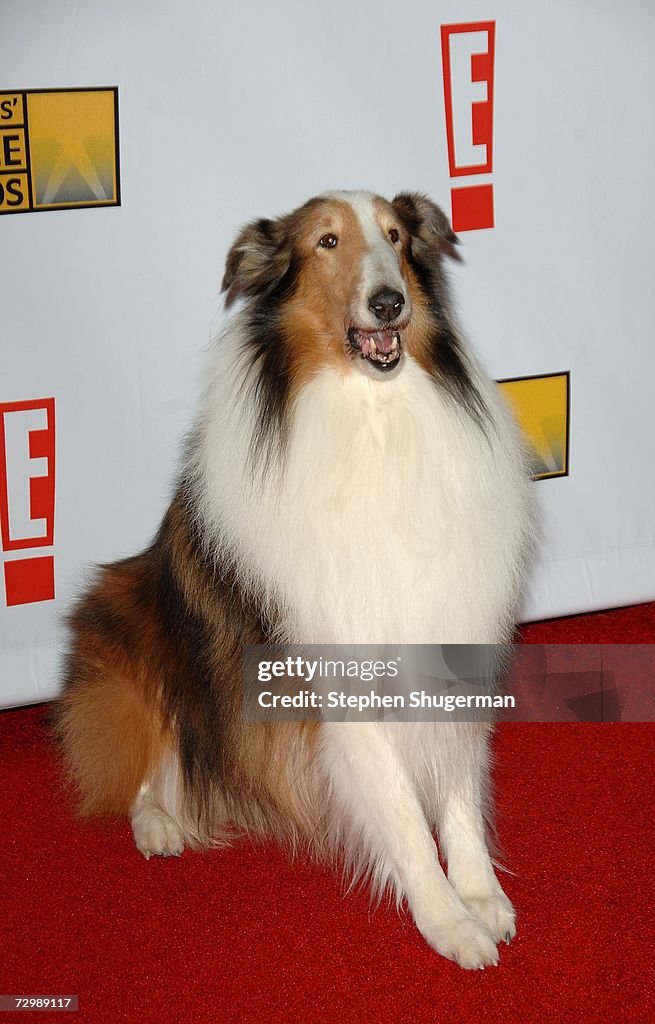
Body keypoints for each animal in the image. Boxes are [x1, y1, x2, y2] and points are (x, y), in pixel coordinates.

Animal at [56, 190, 536, 966]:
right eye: (326, 242)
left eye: (395, 237)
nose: (389, 302)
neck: (374, 419)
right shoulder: (339, 666)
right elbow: (402, 810)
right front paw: (448, 920)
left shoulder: (447, 623)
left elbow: (456, 785)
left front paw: (479, 895)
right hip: (130, 626)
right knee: (146, 753)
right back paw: (159, 822)